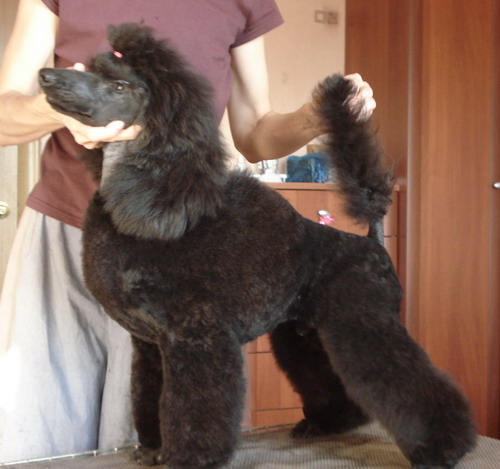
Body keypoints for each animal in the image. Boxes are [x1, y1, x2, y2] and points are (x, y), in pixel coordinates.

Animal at [39, 23, 476, 469]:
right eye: (91, 68)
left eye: (119, 84)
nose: (48, 76)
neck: (146, 195)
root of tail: (371, 239)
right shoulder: (150, 344)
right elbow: (150, 396)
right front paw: (153, 450)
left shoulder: (197, 337)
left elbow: (194, 409)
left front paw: (189, 457)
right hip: (306, 333)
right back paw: (326, 423)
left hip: (363, 321)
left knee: (405, 380)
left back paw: (443, 447)